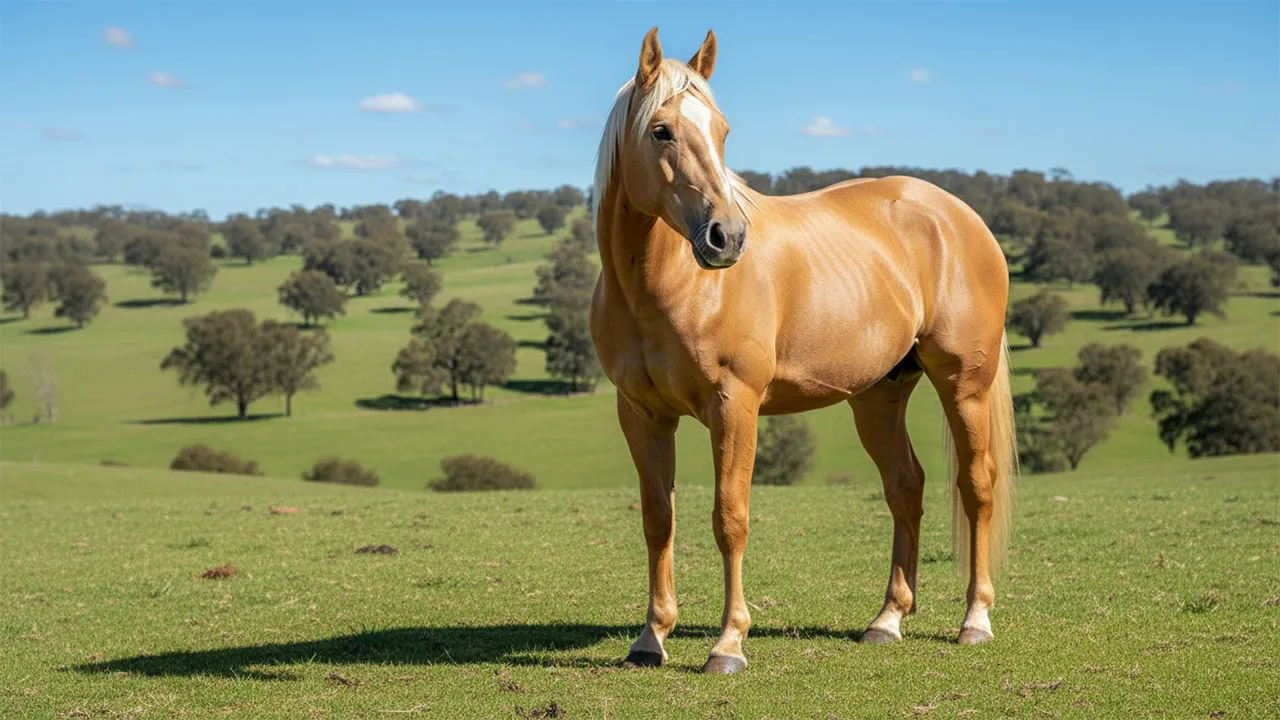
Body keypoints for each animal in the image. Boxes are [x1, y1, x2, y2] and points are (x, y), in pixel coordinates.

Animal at [588, 27, 1017, 675]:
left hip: (964, 384)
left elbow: (729, 518)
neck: (664, 286)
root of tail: (959, 216)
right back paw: (888, 620)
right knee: (906, 487)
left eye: (722, 130)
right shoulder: (641, 414)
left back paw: (976, 620)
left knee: (976, 486)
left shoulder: (734, 406)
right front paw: (650, 638)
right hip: (878, 396)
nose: (727, 238)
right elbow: (658, 520)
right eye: (660, 130)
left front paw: (728, 644)